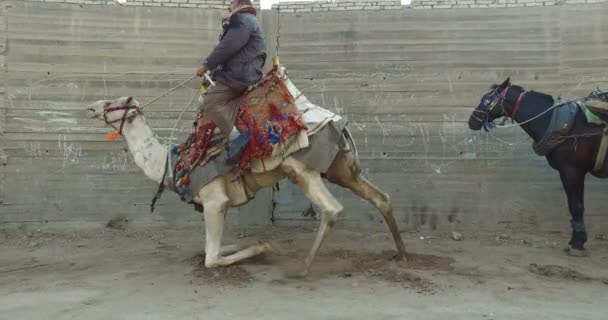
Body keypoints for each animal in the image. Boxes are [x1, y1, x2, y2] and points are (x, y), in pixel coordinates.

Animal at [85, 71, 406, 276]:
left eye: (112, 103)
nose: (90, 107)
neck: (171, 165)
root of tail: (338, 122)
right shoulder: (223, 203)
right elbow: (212, 247)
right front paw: (260, 244)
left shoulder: (214, 199)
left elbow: (211, 258)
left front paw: (263, 246)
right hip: (339, 167)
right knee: (381, 198)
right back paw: (401, 255)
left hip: (299, 166)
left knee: (332, 209)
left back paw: (303, 268)